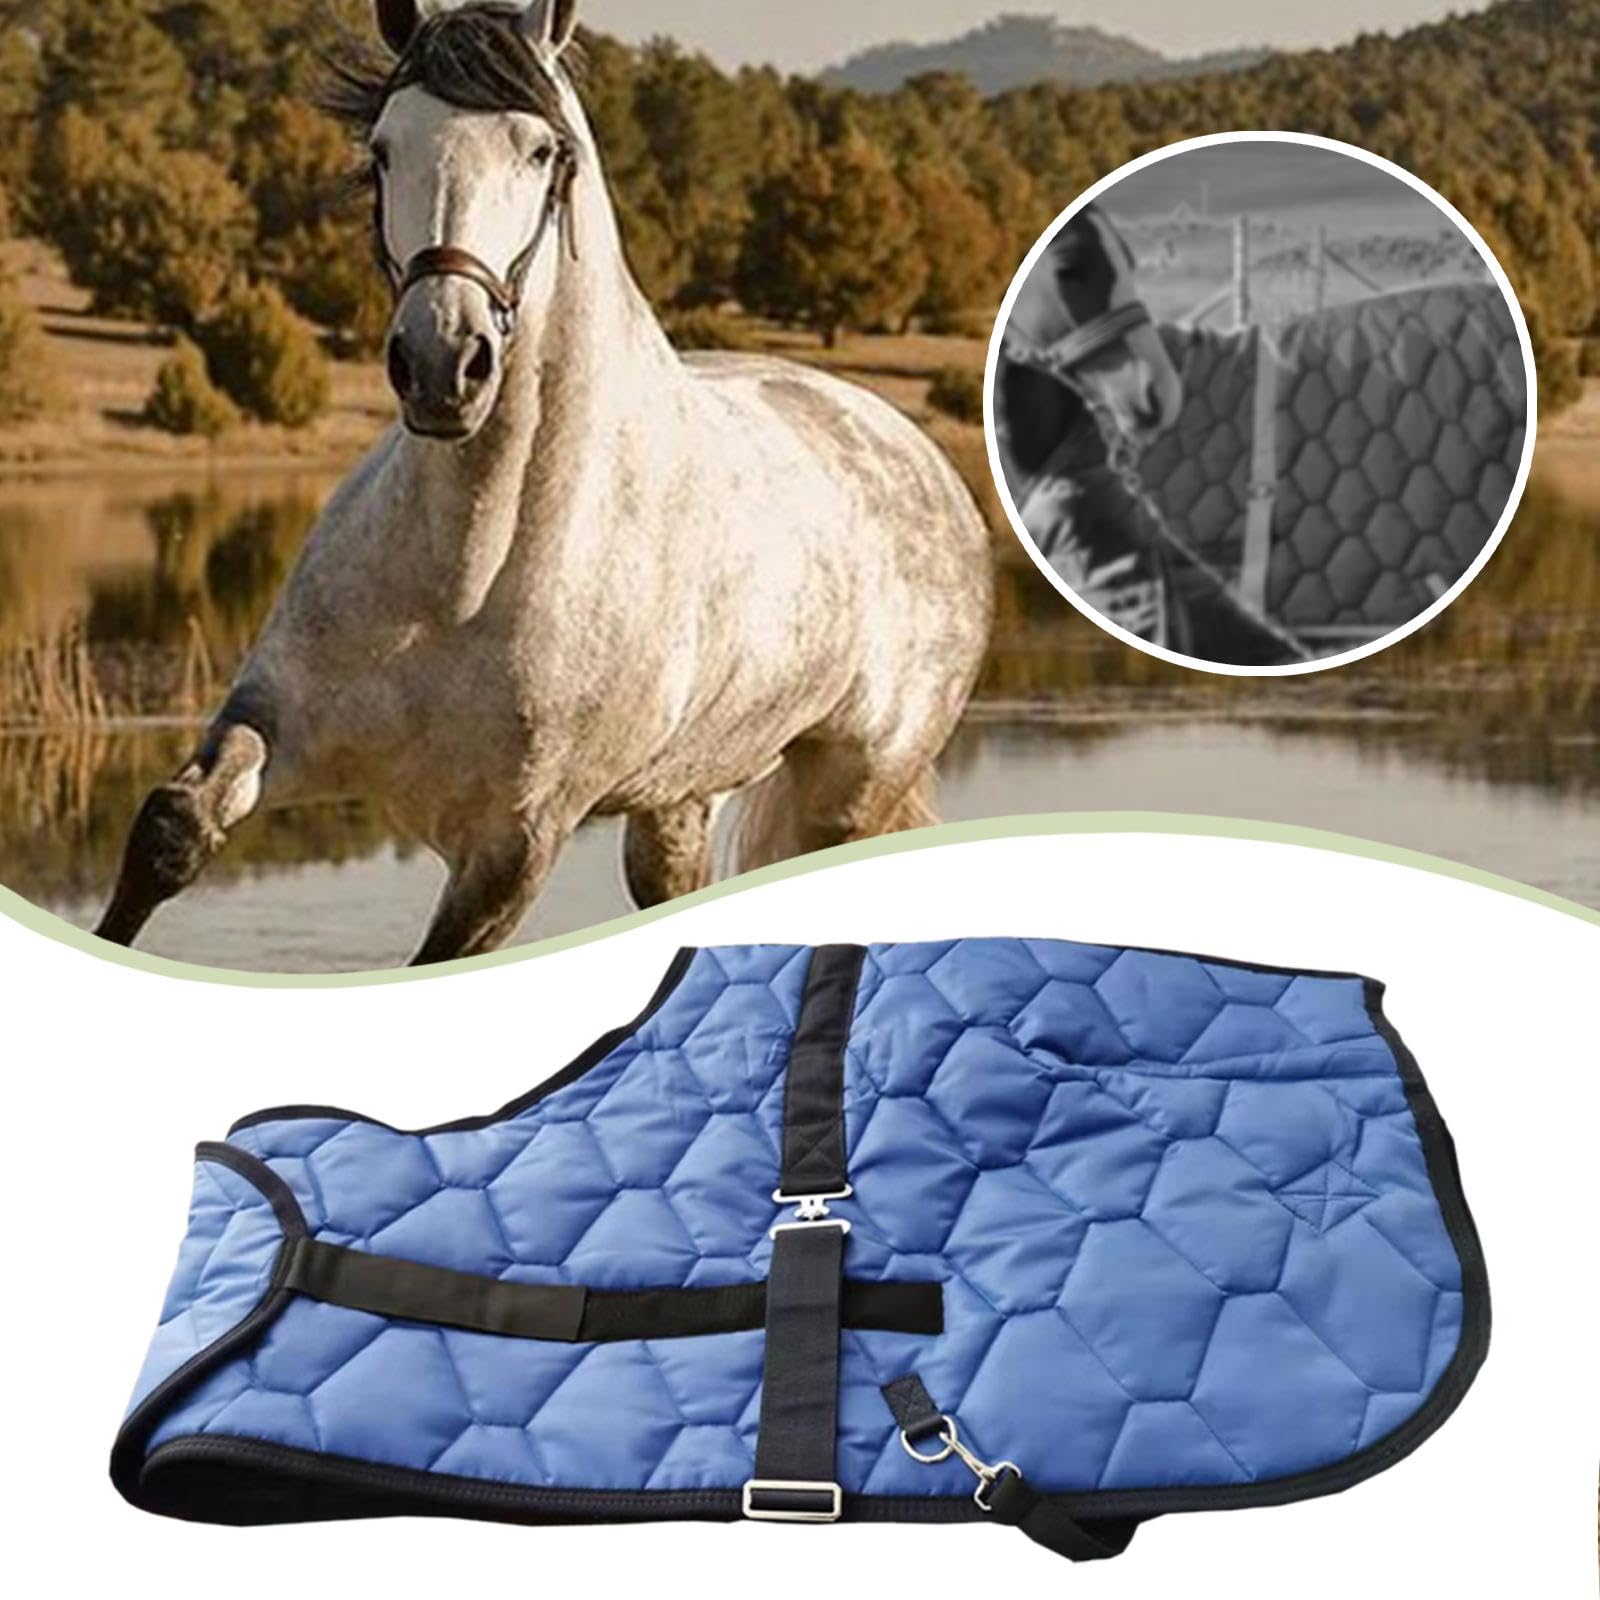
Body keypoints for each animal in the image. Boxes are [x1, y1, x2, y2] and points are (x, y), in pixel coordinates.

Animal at [95, 0, 1000, 967]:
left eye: (541, 151)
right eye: (384, 147)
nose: (442, 364)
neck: (465, 573)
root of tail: (917, 452)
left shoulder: (514, 843)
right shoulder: (277, 724)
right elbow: (168, 835)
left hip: (849, 789)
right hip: (680, 796)